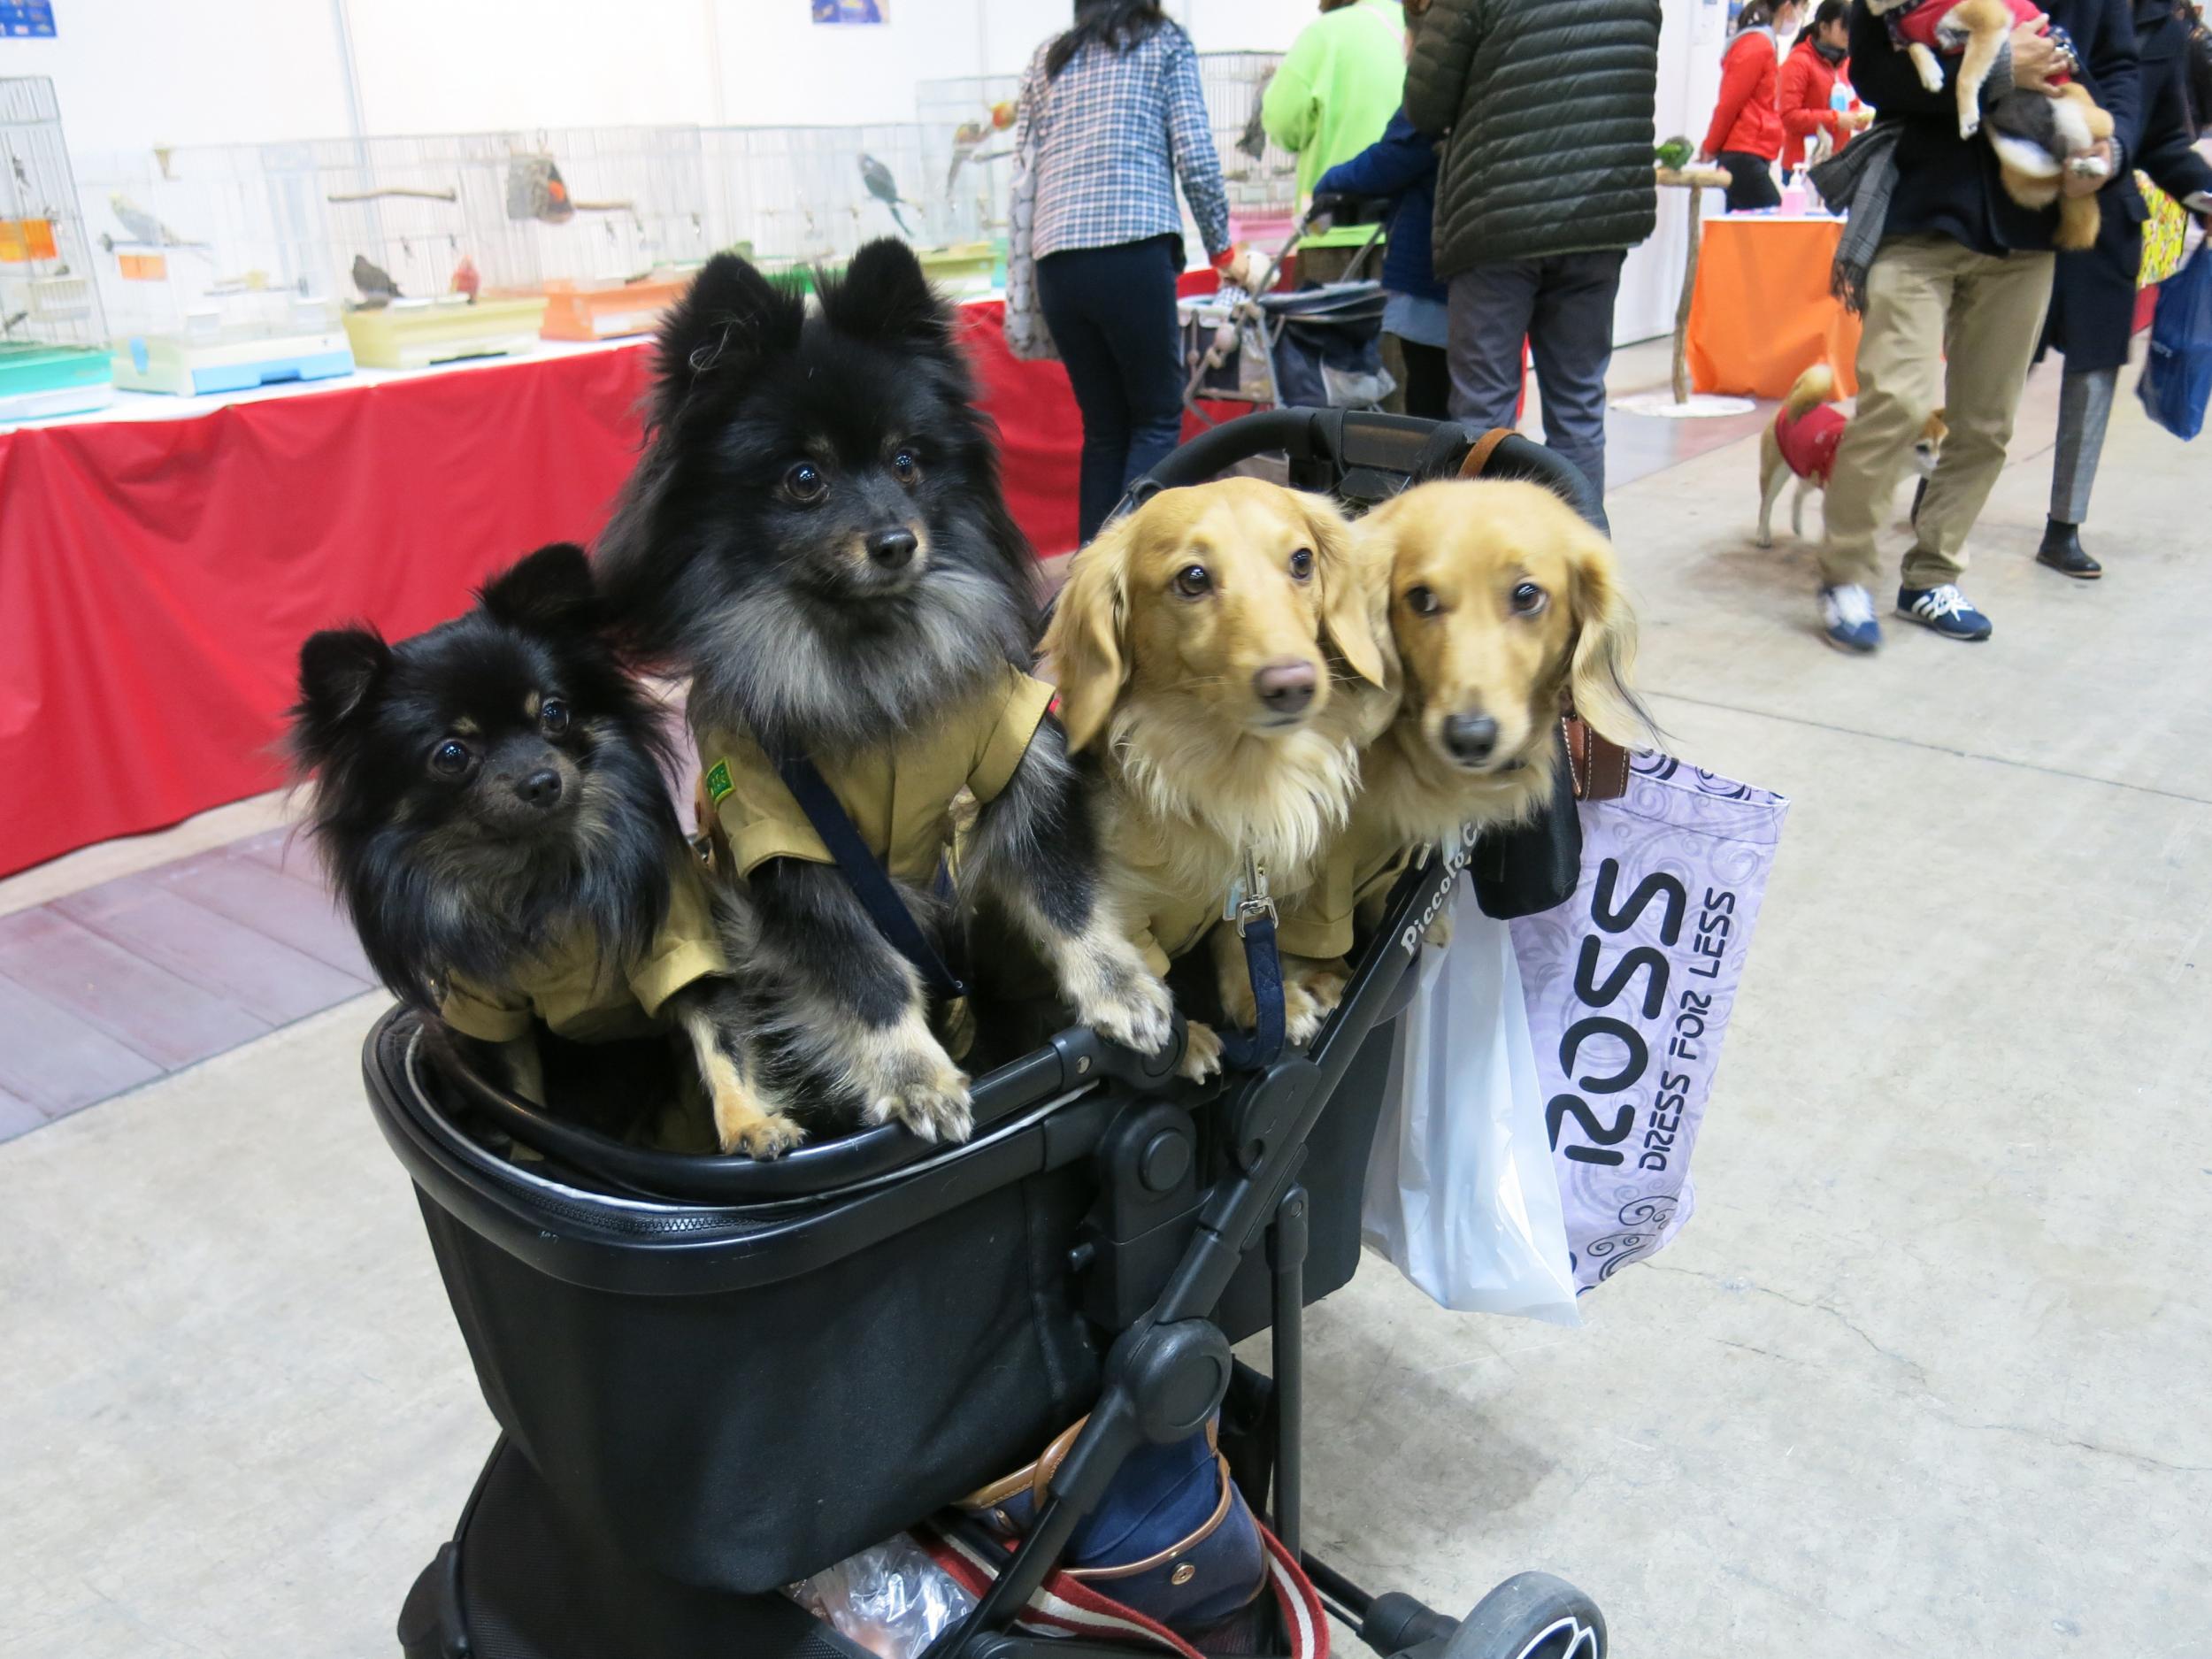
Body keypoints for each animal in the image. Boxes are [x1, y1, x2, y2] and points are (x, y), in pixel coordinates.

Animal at [288, 541, 805, 1159]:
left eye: (554, 714)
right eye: (451, 754)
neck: (539, 874)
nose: (540, 781)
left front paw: (752, 1123)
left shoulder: (684, 951)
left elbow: (722, 1043)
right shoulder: (494, 1012)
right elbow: (522, 1102)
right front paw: (536, 1154)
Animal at [588, 240, 1177, 1150]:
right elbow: (865, 977)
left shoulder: (1015, 762)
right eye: (804, 477)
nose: (897, 541)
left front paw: (1120, 989)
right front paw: (915, 1075)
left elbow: (1064, 894)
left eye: (907, 462)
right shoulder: (785, 839)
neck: (868, 658)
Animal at [1752, 365, 1947, 553]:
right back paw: (1763, 535)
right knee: (1766, 505)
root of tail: (1789, 403)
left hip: (1811, 471)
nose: (1942, 469)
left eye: (1942, 445)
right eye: (1922, 448)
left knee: (1798, 492)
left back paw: (1797, 525)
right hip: (1776, 474)